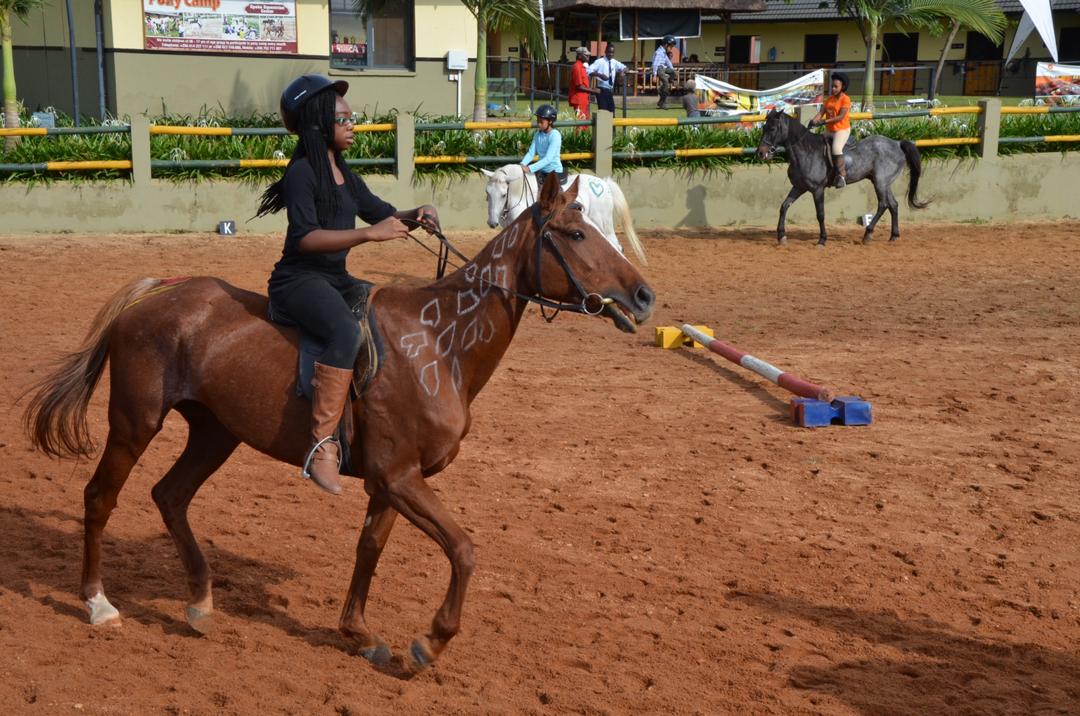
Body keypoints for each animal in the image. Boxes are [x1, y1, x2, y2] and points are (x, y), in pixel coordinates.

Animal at [21, 173, 652, 673]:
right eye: (575, 234)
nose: (643, 296)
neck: (440, 341)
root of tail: (158, 292)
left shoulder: (390, 481)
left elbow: (369, 548)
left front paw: (360, 634)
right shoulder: (399, 477)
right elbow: (464, 549)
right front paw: (429, 642)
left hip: (215, 433)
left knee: (170, 496)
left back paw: (200, 601)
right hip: (135, 423)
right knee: (101, 497)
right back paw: (98, 603)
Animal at [479, 163, 643, 263]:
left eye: (503, 195)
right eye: (487, 192)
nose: (492, 222)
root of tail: (604, 183)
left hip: (603, 224)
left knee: (615, 246)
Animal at [760, 109, 928, 248]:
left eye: (773, 129)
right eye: (763, 128)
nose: (761, 153)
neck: (805, 151)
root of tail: (897, 143)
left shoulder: (817, 189)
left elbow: (820, 214)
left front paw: (822, 240)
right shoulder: (799, 187)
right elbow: (784, 207)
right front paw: (781, 236)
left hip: (880, 182)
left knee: (883, 204)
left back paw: (868, 234)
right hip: (883, 183)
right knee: (893, 205)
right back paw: (893, 236)